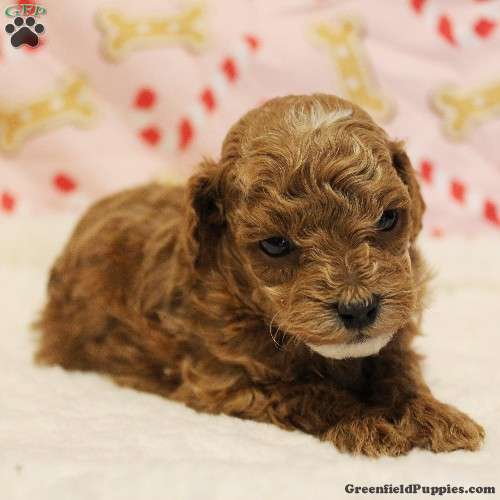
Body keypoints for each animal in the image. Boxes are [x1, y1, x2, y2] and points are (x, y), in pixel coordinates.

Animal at [36, 94, 484, 457]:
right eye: (275, 244)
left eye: (389, 218)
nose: (358, 309)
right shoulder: (226, 381)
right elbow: (312, 393)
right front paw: (367, 421)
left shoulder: (393, 333)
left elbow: (401, 371)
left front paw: (435, 415)